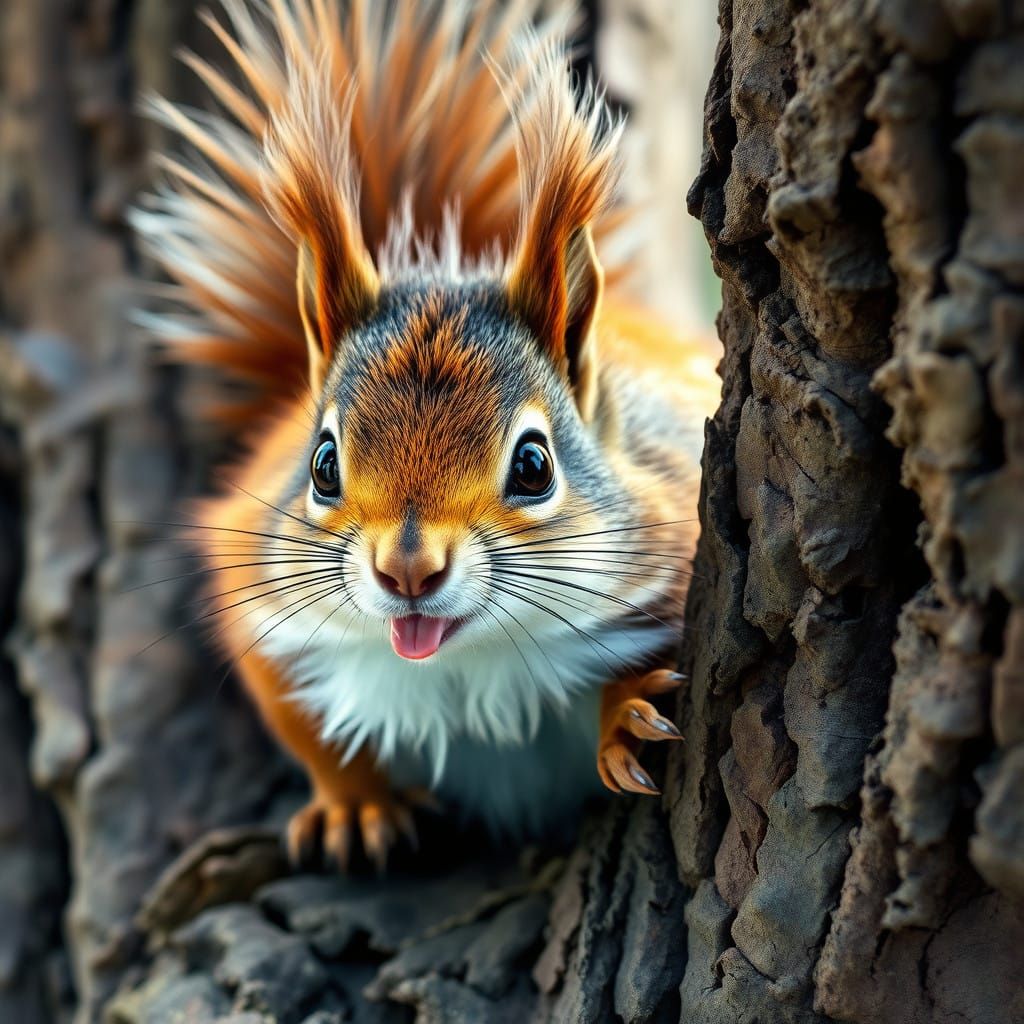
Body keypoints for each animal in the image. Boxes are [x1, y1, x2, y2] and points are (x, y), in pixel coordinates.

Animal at [133, 0, 719, 870]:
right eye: (323, 464)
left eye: (535, 465)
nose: (407, 569)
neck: (464, 664)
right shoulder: (259, 603)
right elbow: (308, 735)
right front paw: (355, 804)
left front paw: (625, 717)